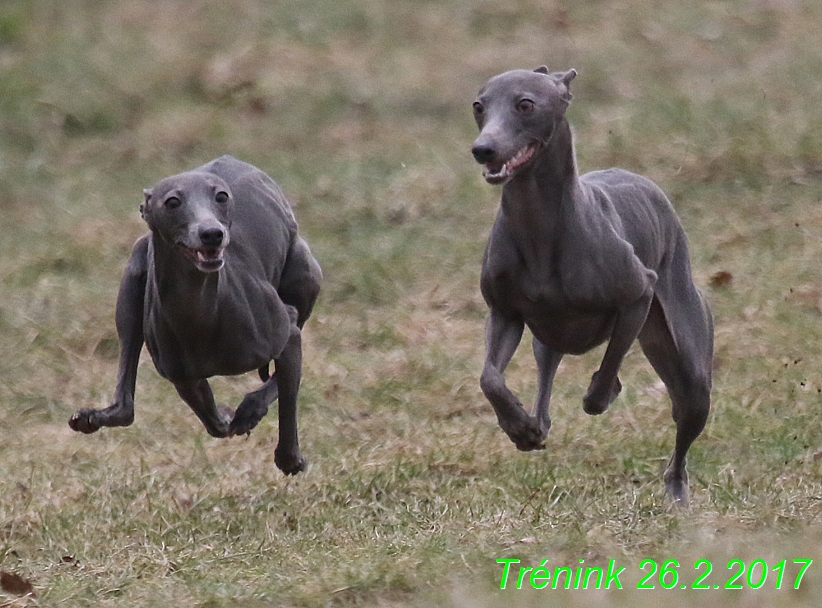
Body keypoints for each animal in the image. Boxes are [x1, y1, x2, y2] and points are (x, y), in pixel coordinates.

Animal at [70, 156, 322, 476]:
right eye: (172, 202)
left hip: (306, 273)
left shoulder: (287, 332)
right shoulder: (184, 377)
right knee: (126, 400)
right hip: (133, 280)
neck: (202, 311)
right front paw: (231, 417)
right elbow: (214, 422)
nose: (212, 233)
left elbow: (286, 394)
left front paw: (288, 456)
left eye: (221, 196)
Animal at [474, 67, 716, 504]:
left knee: (684, 423)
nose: (483, 149)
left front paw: (600, 397)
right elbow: (490, 378)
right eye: (478, 106)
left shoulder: (638, 294)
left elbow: (609, 367)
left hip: (690, 366)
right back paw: (535, 424)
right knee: (545, 377)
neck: (539, 228)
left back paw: (676, 492)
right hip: (548, 340)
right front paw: (517, 426)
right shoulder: (504, 314)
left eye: (525, 104)